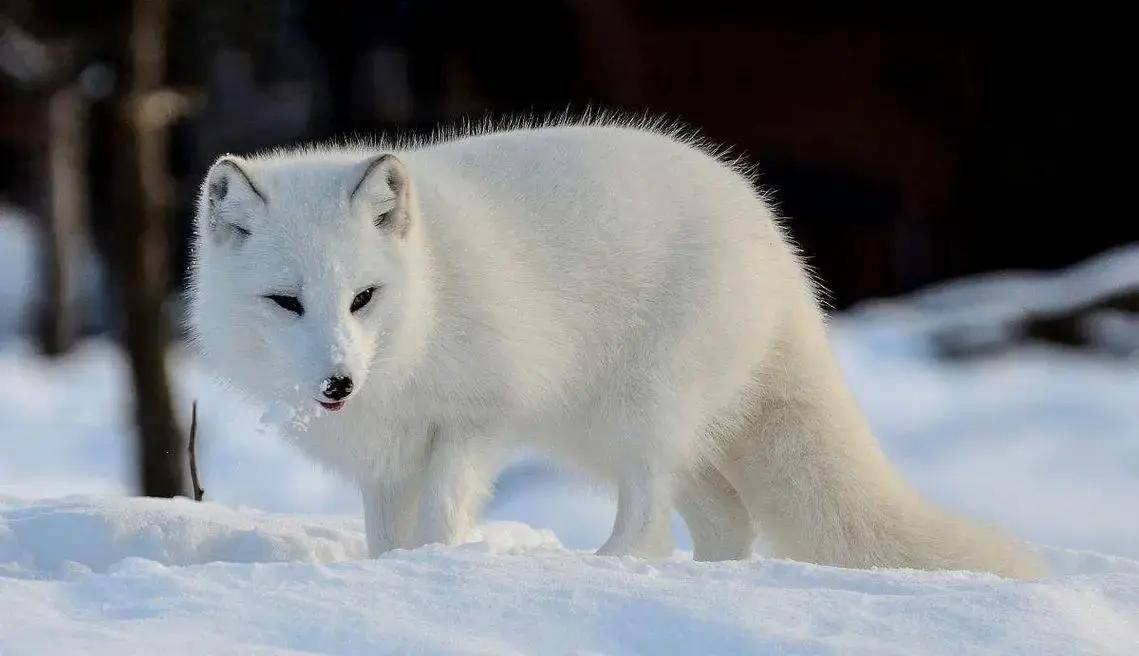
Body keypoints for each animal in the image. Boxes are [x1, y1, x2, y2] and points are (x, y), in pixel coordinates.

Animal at [189, 120, 1047, 576]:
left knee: (649, 521)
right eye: (286, 302)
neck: (427, 303)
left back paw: (600, 568)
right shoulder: (384, 456)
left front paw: (436, 570)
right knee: (725, 521)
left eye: (363, 297)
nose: (338, 383)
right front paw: (390, 574)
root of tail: (778, 248)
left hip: (634, 415)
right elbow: (383, 536)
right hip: (628, 435)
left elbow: (440, 518)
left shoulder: (475, 422)